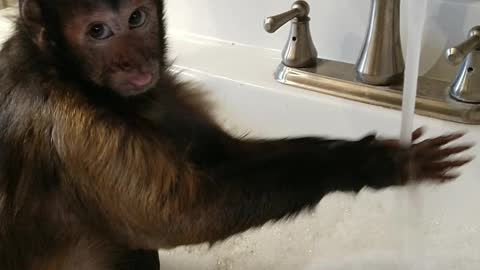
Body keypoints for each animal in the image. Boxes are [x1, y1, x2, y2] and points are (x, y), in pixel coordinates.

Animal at [0, 0, 472, 270]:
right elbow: (183, 216)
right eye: (97, 31)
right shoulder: (69, 125)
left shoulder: (161, 89)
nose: (134, 62)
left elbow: (222, 154)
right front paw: (375, 163)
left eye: (136, 19)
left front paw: (365, 154)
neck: (72, 78)